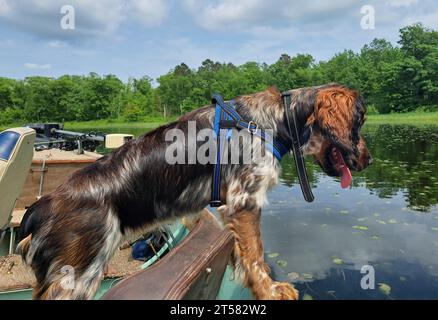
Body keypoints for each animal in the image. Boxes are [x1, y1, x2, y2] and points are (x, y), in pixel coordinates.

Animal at [18, 83, 372, 300]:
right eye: (360, 122)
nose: (368, 159)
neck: (274, 121)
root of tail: (40, 209)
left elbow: (244, 257)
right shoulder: (244, 202)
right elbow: (257, 257)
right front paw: (270, 291)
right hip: (76, 278)